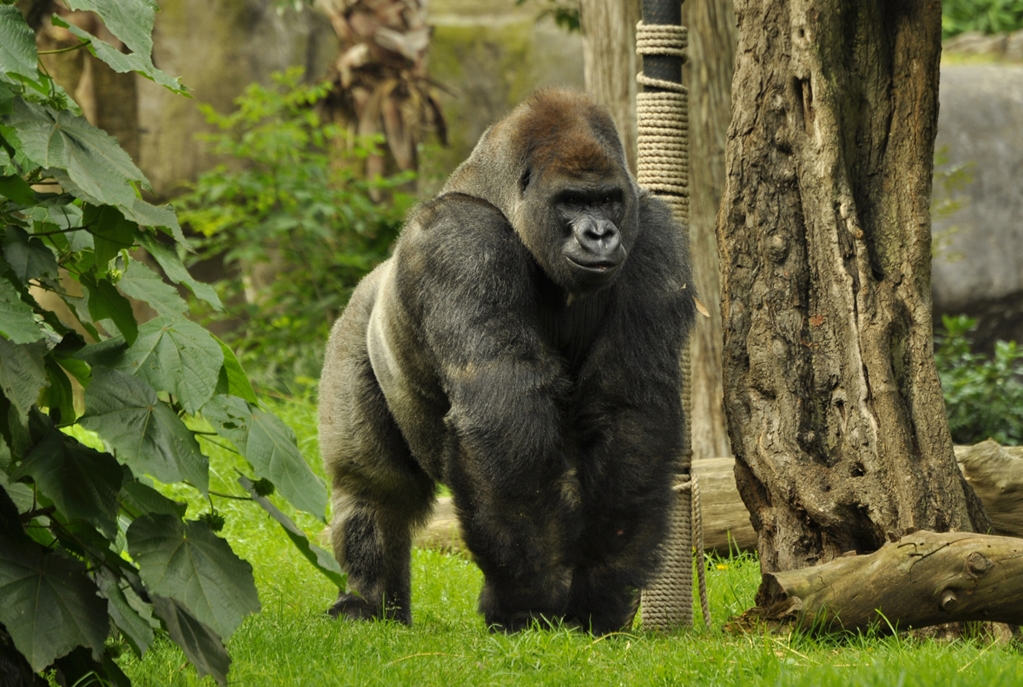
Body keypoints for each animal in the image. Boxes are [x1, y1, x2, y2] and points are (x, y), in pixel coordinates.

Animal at [319, 87, 695, 633]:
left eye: (608, 199)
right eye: (571, 201)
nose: (600, 234)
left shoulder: (653, 238)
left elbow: (628, 412)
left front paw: (600, 591)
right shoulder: (461, 241)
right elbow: (504, 411)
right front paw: (527, 599)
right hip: (352, 329)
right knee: (374, 489)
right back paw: (368, 600)